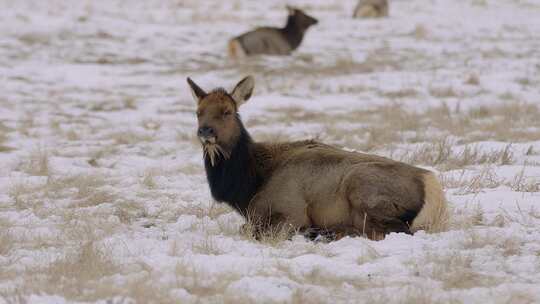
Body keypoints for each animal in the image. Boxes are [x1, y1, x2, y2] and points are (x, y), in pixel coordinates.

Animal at [188, 75, 450, 240]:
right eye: (198, 112)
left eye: (227, 112)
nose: (205, 131)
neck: (248, 185)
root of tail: (435, 190)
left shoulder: (291, 211)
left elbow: (252, 231)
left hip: (362, 186)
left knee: (393, 230)